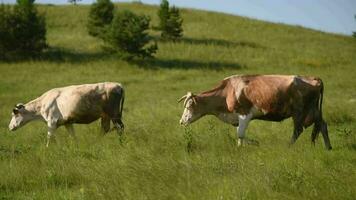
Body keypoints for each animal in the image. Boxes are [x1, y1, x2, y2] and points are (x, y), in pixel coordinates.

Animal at [179, 74, 332, 149]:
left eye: (188, 107)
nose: (181, 121)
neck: (228, 91)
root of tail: (313, 79)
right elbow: (239, 134)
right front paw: (240, 147)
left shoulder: (244, 114)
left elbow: (240, 133)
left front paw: (254, 143)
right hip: (314, 110)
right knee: (322, 125)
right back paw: (328, 147)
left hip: (299, 111)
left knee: (298, 130)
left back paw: (288, 147)